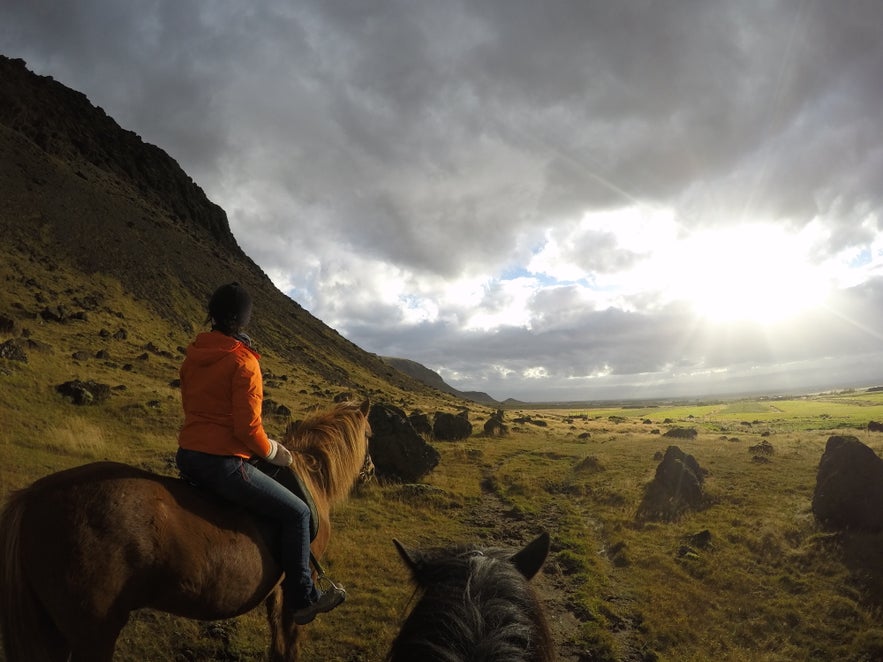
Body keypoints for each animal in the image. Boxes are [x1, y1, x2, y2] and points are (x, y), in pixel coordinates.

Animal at [0, 400, 372, 662]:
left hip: (52, 629)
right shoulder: (301, 574)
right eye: (370, 434)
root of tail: (33, 497)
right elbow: (290, 641)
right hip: (94, 632)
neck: (310, 478)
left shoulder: (278, 589)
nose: (370, 471)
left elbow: (278, 644)